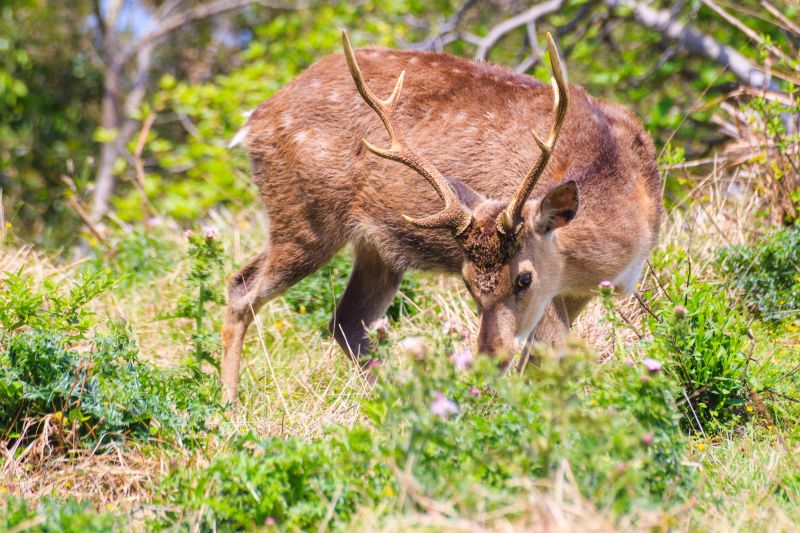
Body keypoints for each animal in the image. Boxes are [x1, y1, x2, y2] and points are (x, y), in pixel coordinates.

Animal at [220, 31, 664, 402]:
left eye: (524, 278)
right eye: (465, 281)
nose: (488, 358)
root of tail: (253, 118)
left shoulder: (571, 292)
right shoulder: (554, 294)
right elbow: (548, 361)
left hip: (375, 248)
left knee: (347, 320)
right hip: (303, 215)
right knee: (242, 288)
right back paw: (230, 407)